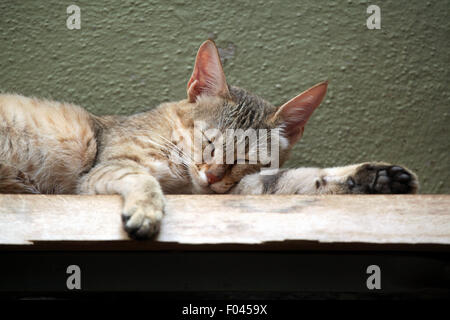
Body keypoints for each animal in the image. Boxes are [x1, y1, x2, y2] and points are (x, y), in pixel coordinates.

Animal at [0, 40, 418, 239]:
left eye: (249, 159)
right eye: (210, 141)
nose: (213, 176)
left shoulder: (236, 190)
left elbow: (299, 179)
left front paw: (375, 176)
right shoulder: (105, 169)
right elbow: (143, 179)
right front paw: (147, 210)